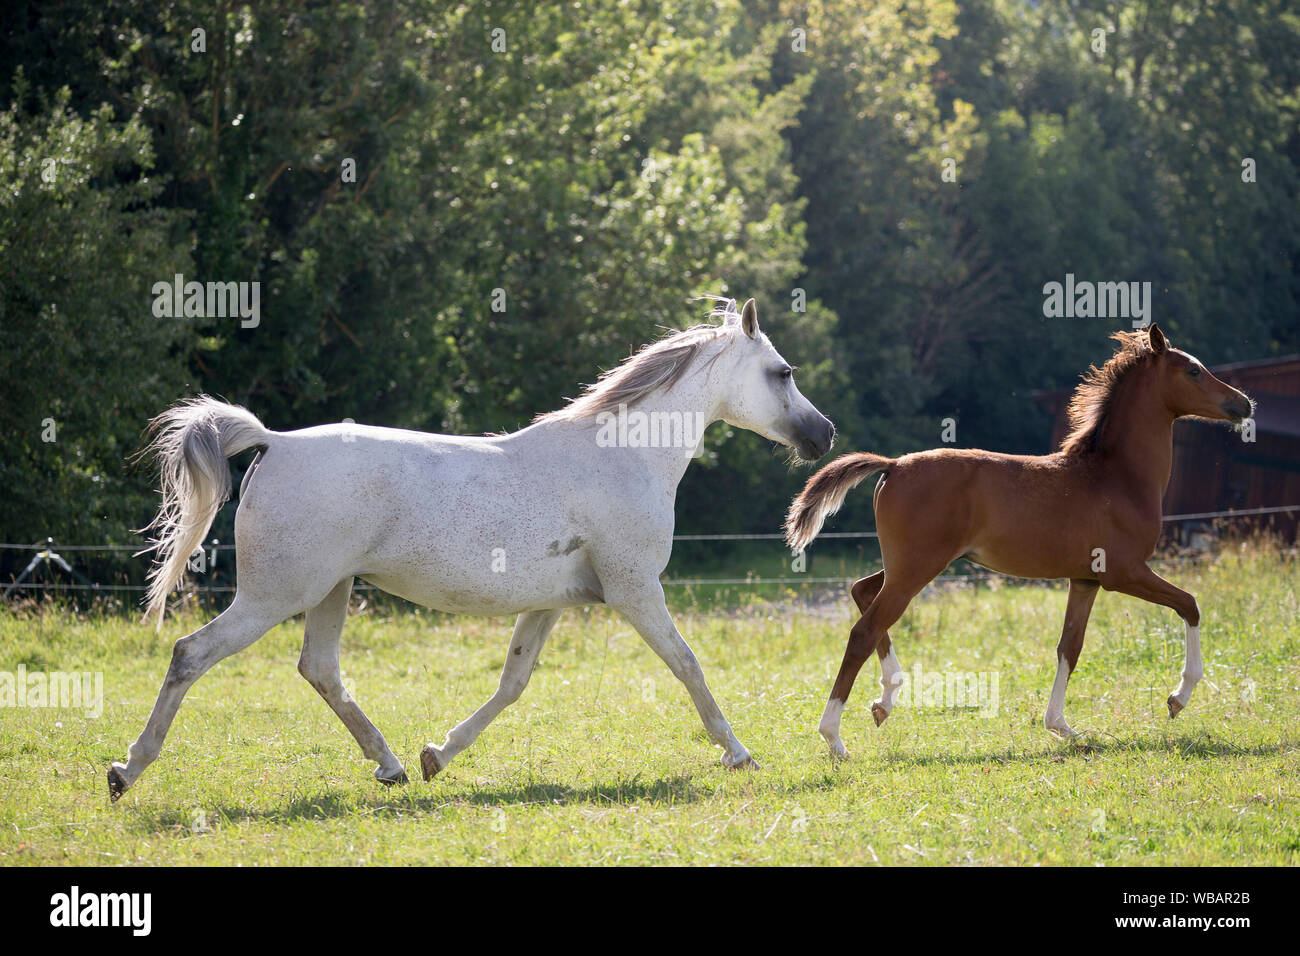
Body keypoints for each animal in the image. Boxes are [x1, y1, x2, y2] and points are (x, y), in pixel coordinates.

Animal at [116, 299, 837, 801]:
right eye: (782, 373)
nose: (824, 434)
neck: (625, 455)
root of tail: (275, 441)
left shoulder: (553, 603)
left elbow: (512, 684)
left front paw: (438, 755)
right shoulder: (635, 591)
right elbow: (688, 666)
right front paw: (739, 754)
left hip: (329, 590)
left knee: (320, 671)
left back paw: (392, 767)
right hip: (276, 594)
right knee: (191, 654)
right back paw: (126, 770)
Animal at [785, 325, 1253, 759]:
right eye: (1193, 370)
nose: (1244, 403)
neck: (1117, 477)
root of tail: (893, 465)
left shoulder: (1085, 580)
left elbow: (1070, 647)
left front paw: (1062, 727)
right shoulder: (1124, 572)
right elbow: (1189, 604)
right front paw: (1178, 698)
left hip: (907, 564)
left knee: (862, 592)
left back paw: (885, 701)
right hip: (918, 567)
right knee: (864, 629)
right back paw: (835, 738)